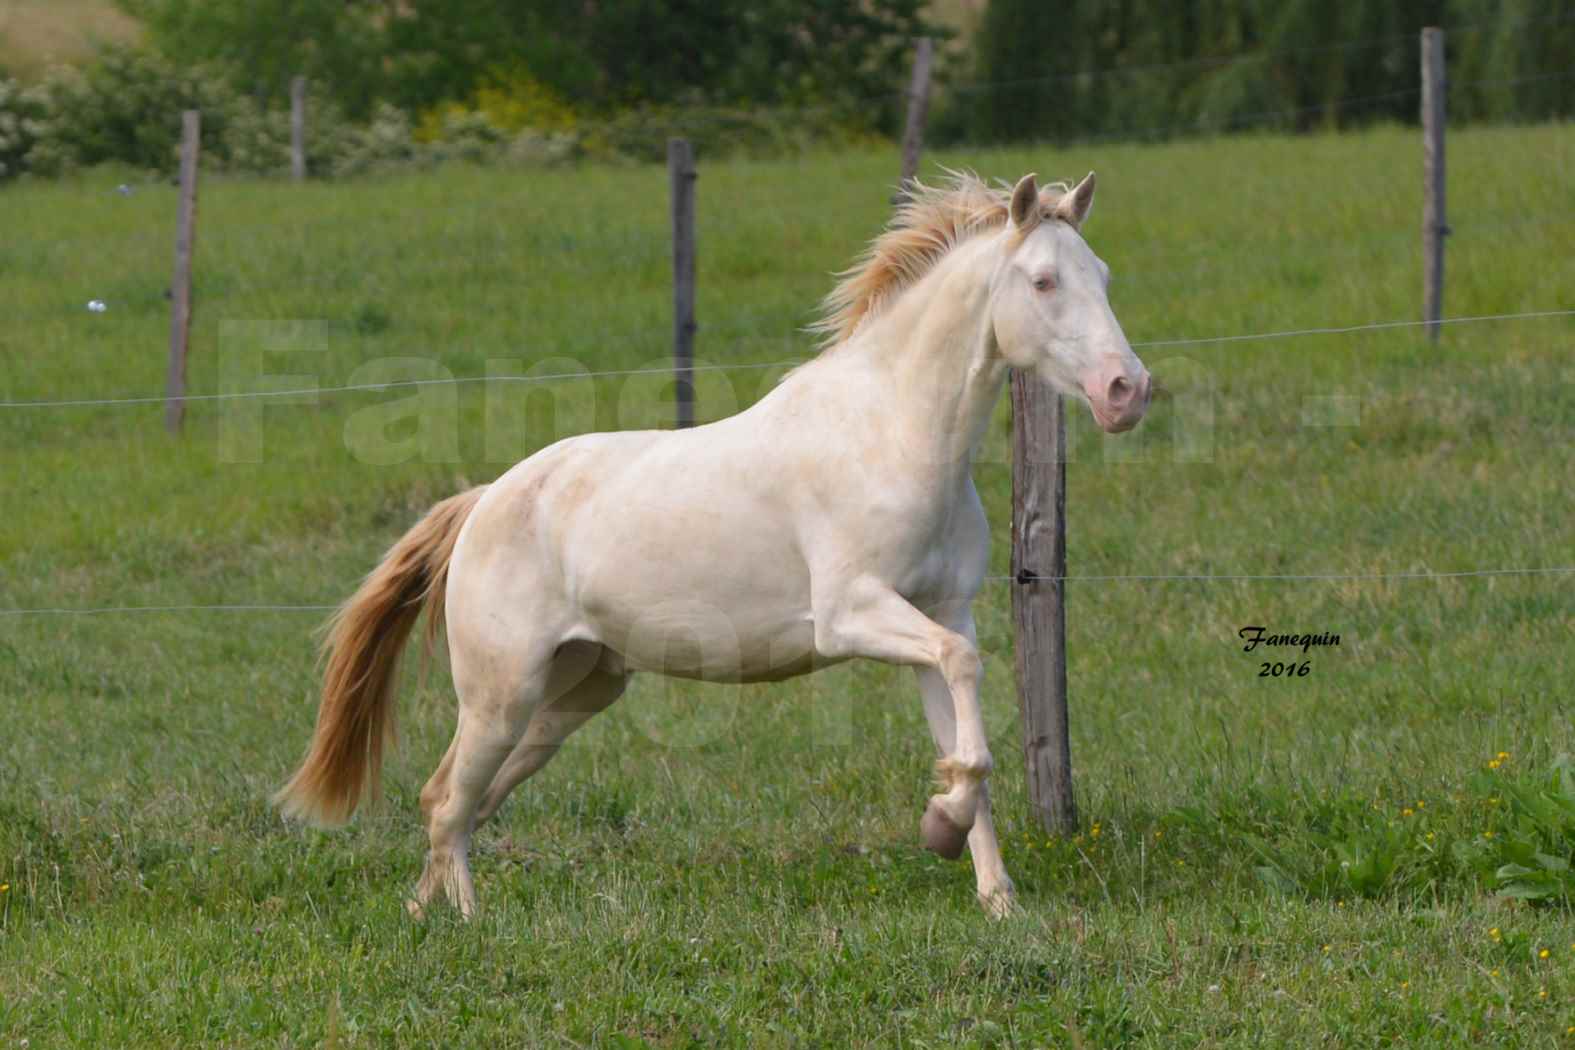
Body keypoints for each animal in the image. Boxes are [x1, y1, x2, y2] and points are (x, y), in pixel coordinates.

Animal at [277, 168, 1152, 913]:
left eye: (1105, 276)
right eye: (1042, 281)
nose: (1126, 392)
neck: (891, 435)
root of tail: (483, 500)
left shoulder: (940, 612)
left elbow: (965, 728)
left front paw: (993, 893)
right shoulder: (852, 614)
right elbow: (963, 685)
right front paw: (939, 830)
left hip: (578, 688)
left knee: (463, 801)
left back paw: (426, 911)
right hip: (500, 693)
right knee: (448, 799)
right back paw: (464, 919)